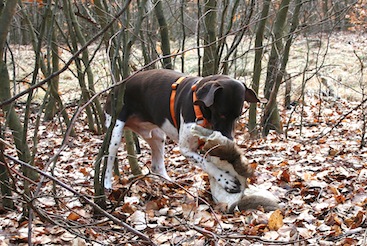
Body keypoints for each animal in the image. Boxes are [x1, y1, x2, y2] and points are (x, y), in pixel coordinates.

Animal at [105, 68, 264, 192]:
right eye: (221, 114)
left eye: (238, 116)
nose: (229, 141)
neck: (199, 107)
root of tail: (116, 87)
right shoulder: (186, 149)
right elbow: (206, 163)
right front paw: (225, 179)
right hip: (114, 133)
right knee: (108, 160)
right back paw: (106, 184)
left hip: (157, 136)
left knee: (157, 166)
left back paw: (171, 183)